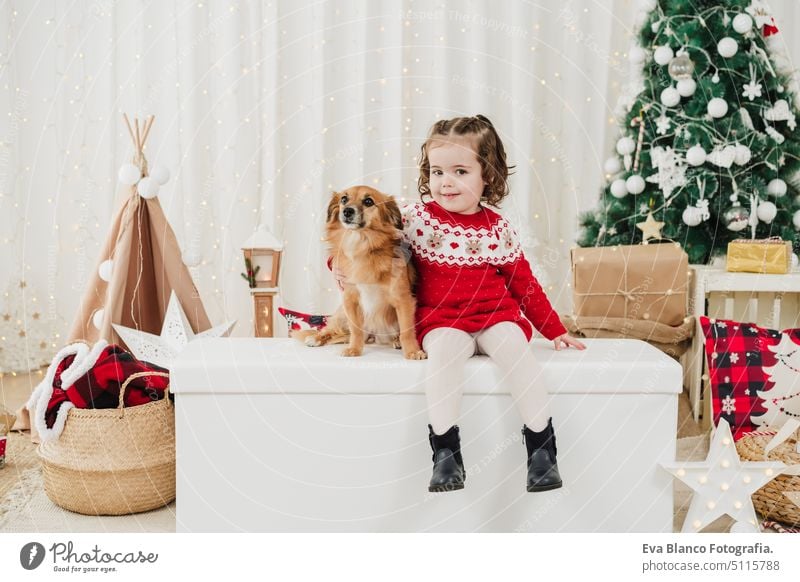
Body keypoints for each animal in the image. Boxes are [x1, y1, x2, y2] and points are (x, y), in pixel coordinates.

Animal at [296, 187, 428, 360]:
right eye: (344, 199)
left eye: (368, 201)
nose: (347, 211)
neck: (361, 245)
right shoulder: (350, 300)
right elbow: (356, 330)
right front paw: (354, 349)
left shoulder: (403, 300)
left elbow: (406, 331)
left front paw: (412, 351)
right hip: (342, 315)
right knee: (333, 330)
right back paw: (317, 338)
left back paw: (396, 341)